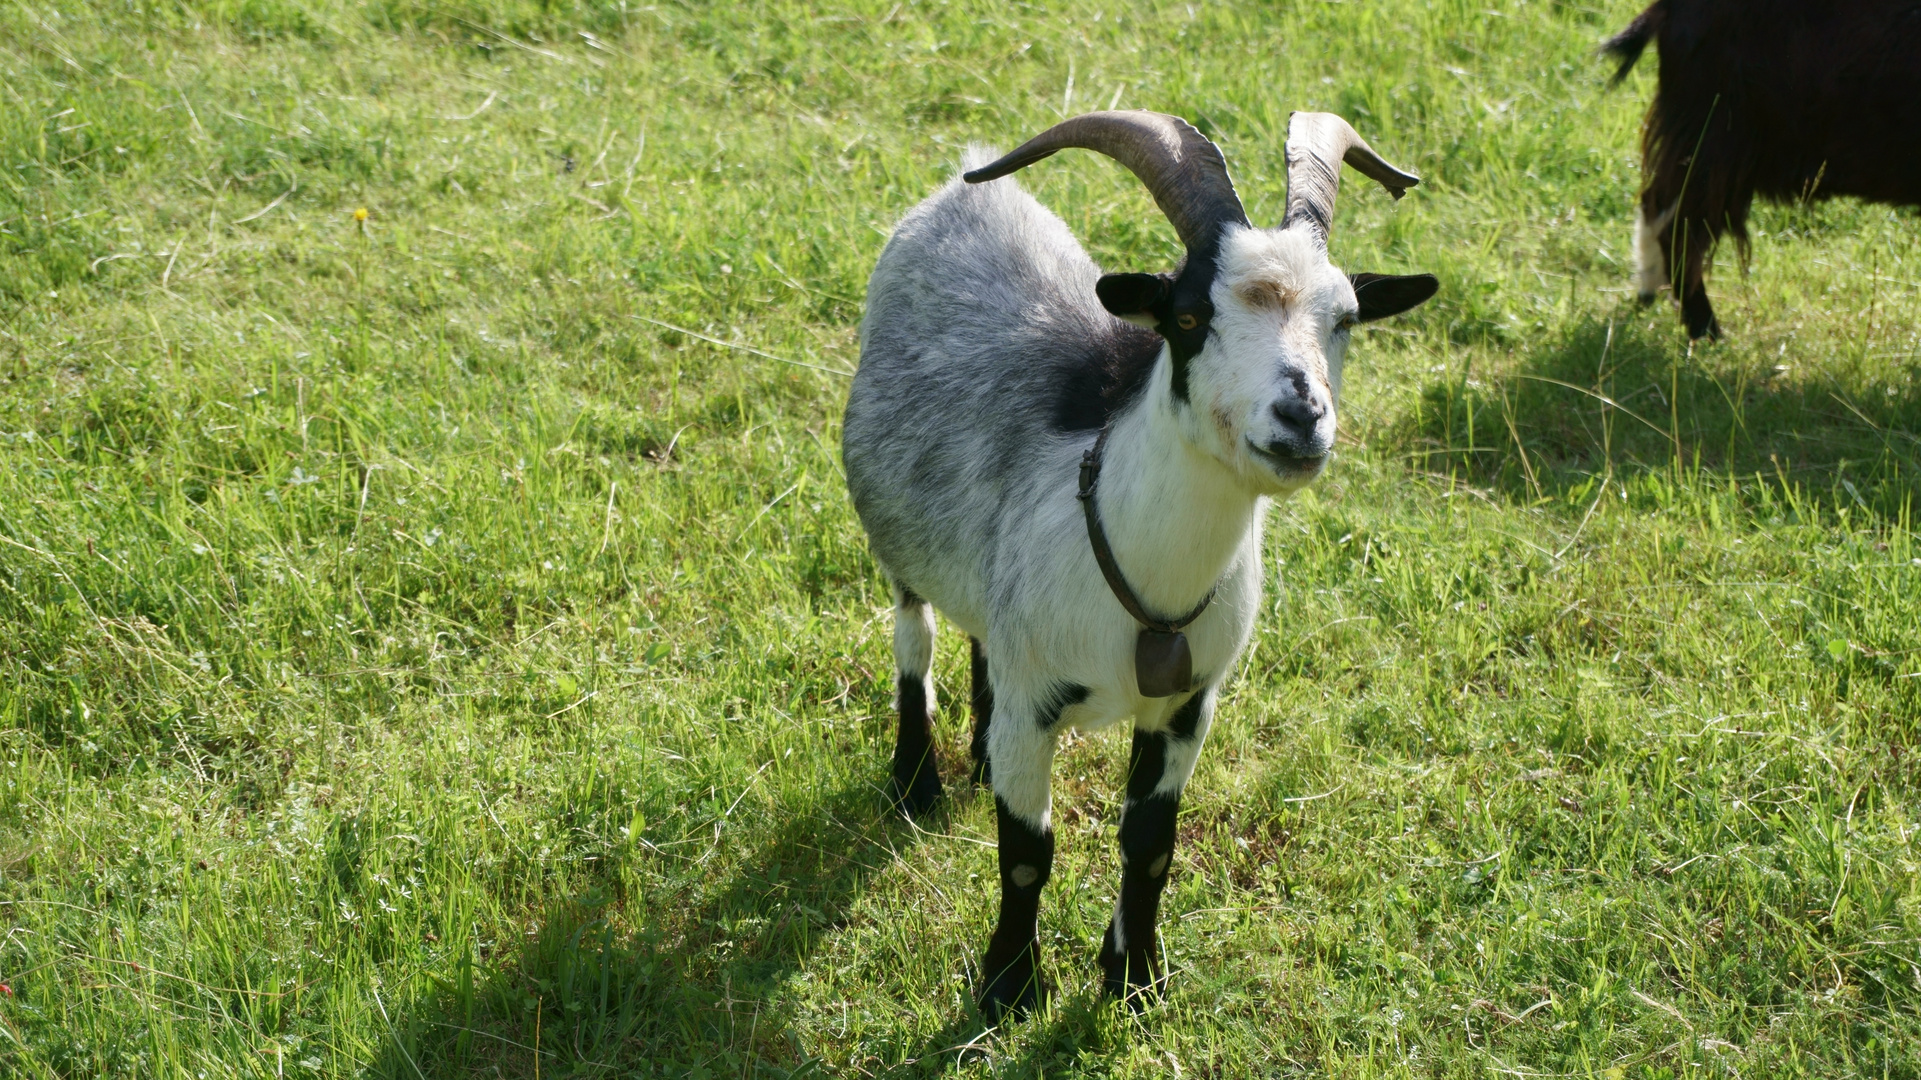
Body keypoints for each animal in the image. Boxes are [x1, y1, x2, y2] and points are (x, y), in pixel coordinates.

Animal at [841, 113, 1429, 1014]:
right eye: (1186, 318)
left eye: (1347, 316)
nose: (1299, 416)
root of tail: (969, 190)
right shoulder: (1035, 708)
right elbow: (1026, 853)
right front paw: (1008, 987)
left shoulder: (1188, 704)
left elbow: (1149, 842)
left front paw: (1134, 977)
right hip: (896, 528)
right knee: (916, 632)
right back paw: (915, 782)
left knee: (978, 630)